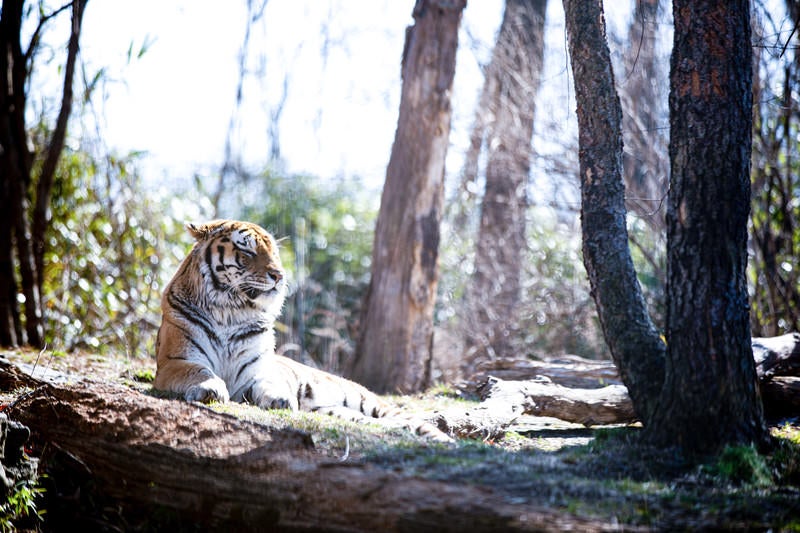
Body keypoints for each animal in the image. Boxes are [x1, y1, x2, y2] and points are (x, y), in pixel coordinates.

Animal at [155, 218, 454, 442]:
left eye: (274, 252)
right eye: (248, 252)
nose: (279, 275)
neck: (231, 311)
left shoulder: (257, 370)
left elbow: (269, 382)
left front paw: (279, 398)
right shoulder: (176, 361)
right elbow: (199, 371)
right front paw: (210, 389)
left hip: (371, 403)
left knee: (417, 423)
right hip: (339, 412)